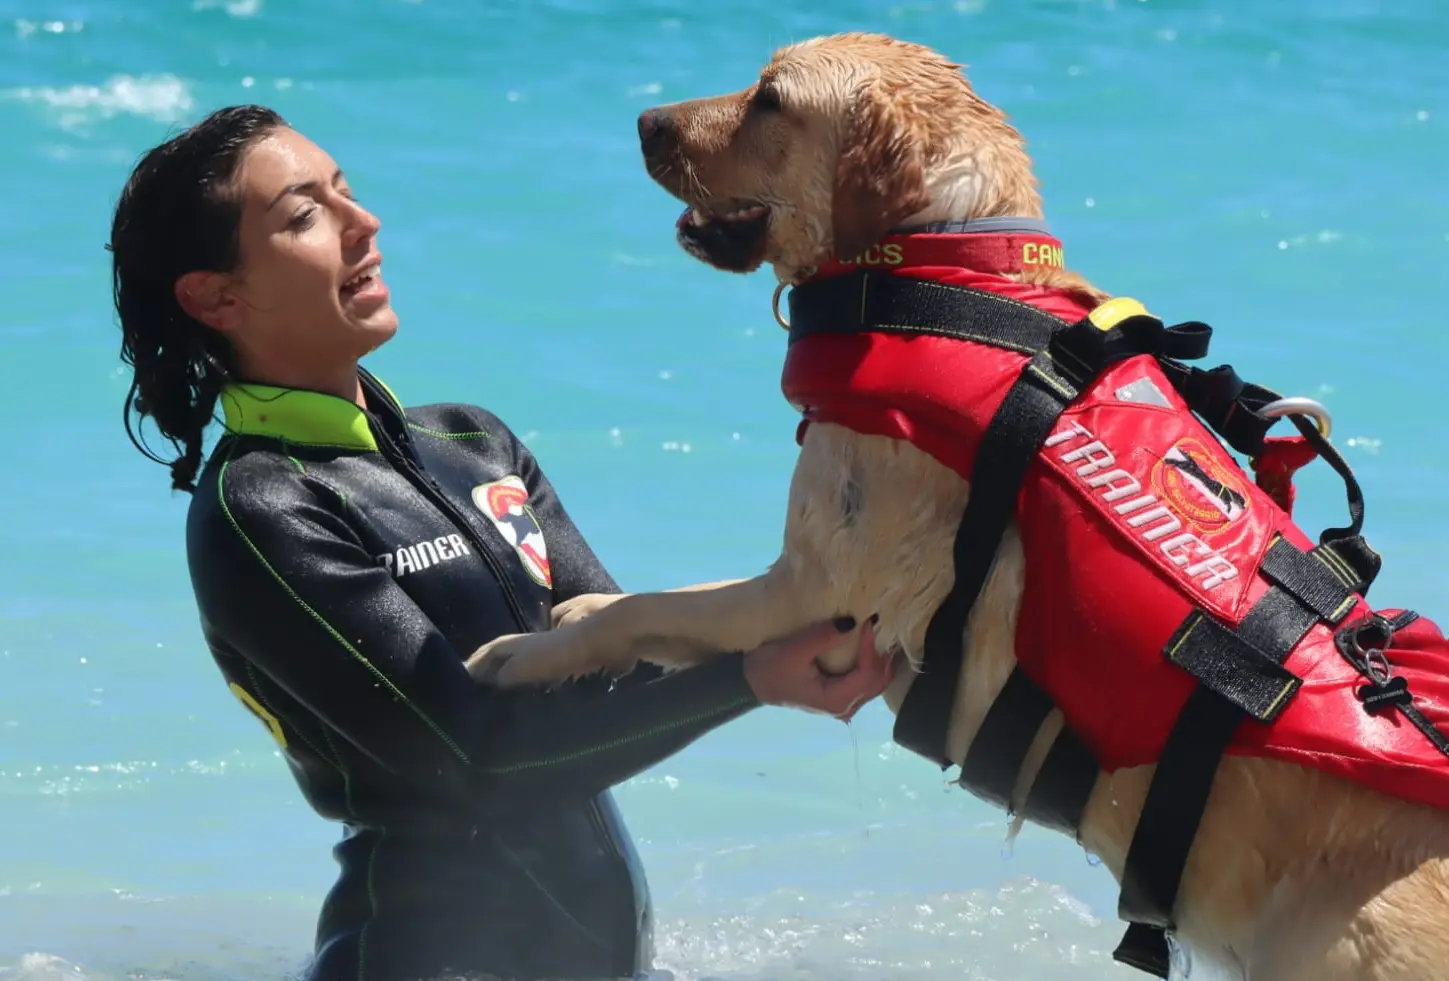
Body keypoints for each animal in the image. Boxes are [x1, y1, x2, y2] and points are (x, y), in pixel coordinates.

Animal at [466, 30, 1449, 979]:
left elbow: (653, 608)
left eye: (770, 98)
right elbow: (653, 602)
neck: (939, 268)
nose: (644, 121)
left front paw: (531, 651)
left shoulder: (811, 587)